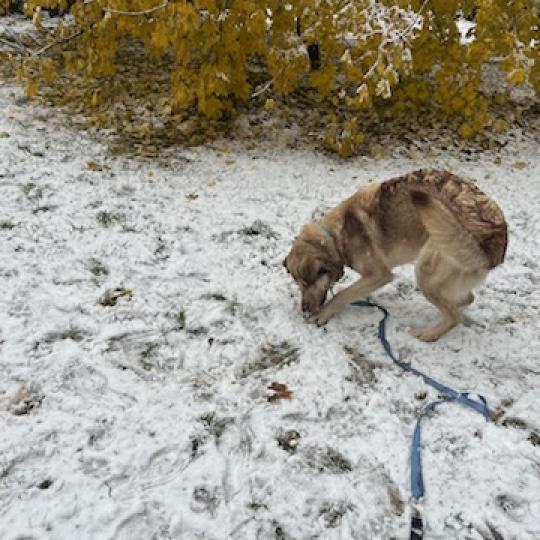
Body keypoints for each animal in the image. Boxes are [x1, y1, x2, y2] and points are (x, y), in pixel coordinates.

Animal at [284, 168, 508, 342]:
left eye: (307, 283)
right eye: (298, 284)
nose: (304, 309)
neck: (336, 237)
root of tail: (496, 237)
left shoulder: (379, 275)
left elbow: (343, 294)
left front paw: (324, 313)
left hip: (426, 270)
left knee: (456, 316)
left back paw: (428, 334)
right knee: (466, 299)